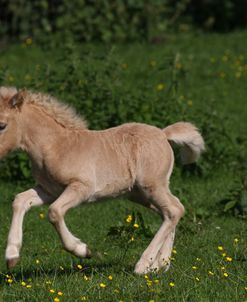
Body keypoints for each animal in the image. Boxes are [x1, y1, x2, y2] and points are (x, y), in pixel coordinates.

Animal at [0, 86, 205, 274]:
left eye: (2, 125)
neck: (56, 146)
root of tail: (163, 134)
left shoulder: (82, 187)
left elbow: (54, 212)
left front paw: (83, 250)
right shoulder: (48, 190)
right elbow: (20, 200)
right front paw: (11, 256)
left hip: (152, 186)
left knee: (174, 209)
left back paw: (143, 266)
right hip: (139, 194)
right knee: (170, 211)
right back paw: (160, 264)